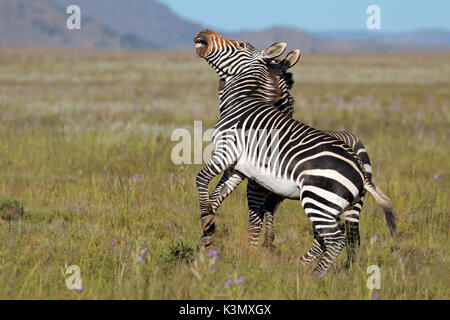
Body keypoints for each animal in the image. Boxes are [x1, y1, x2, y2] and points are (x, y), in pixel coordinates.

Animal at [193, 30, 394, 274]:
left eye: (240, 44)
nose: (203, 33)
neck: (243, 101)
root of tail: (361, 172)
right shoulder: (240, 168)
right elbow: (218, 195)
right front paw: (208, 226)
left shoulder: (230, 154)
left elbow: (203, 180)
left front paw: (249, 253)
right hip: (339, 205)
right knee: (340, 237)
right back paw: (305, 268)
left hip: (317, 199)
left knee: (335, 239)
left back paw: (313, 276)